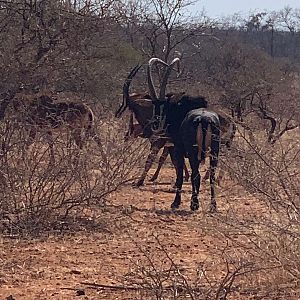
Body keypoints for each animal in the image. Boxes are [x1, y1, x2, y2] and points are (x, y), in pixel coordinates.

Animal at [146, 56, 221, 211]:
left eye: (164, 105)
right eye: (154, 105)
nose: (155, 123)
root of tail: (204, 120)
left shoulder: (178, 149)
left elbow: (179, 174)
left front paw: (176, 202)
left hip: (193, 152)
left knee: (196, 175)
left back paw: (194, 204)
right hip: (215, 152)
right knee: (211, 176)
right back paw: (213, 205)